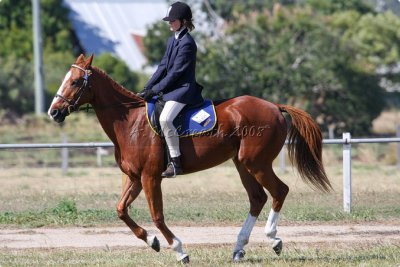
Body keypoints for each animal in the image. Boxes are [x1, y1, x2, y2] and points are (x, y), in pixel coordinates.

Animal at [47, 54, 332, 264]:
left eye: (75, 82)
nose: (54, 112)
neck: (130, 122)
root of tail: (274, 106)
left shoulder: (150, 177)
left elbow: (157, 215)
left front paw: (179, 250)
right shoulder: (134, 178)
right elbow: (121, 210)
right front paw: (152, 241)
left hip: (257, 163)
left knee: (279, 191)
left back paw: (273, 239)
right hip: (242, 164)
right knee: (257, 198)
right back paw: (239, 248)